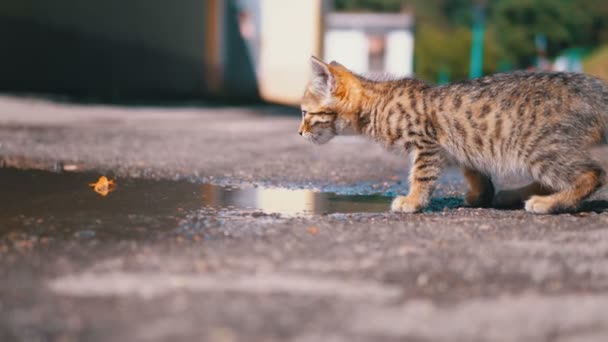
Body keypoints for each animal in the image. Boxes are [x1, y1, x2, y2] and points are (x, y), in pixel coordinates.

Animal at [300, 57, 608, 215]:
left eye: (305, 113)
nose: (299, 131)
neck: (377, 104)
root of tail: (593, 87)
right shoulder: (460, 145)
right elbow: (474, 170)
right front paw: (481, 194)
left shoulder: (427, 143)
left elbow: (421, 175)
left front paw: (413, 201)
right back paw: (513, 195)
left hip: (536, 146)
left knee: (591, 174)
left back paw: (547, 204)